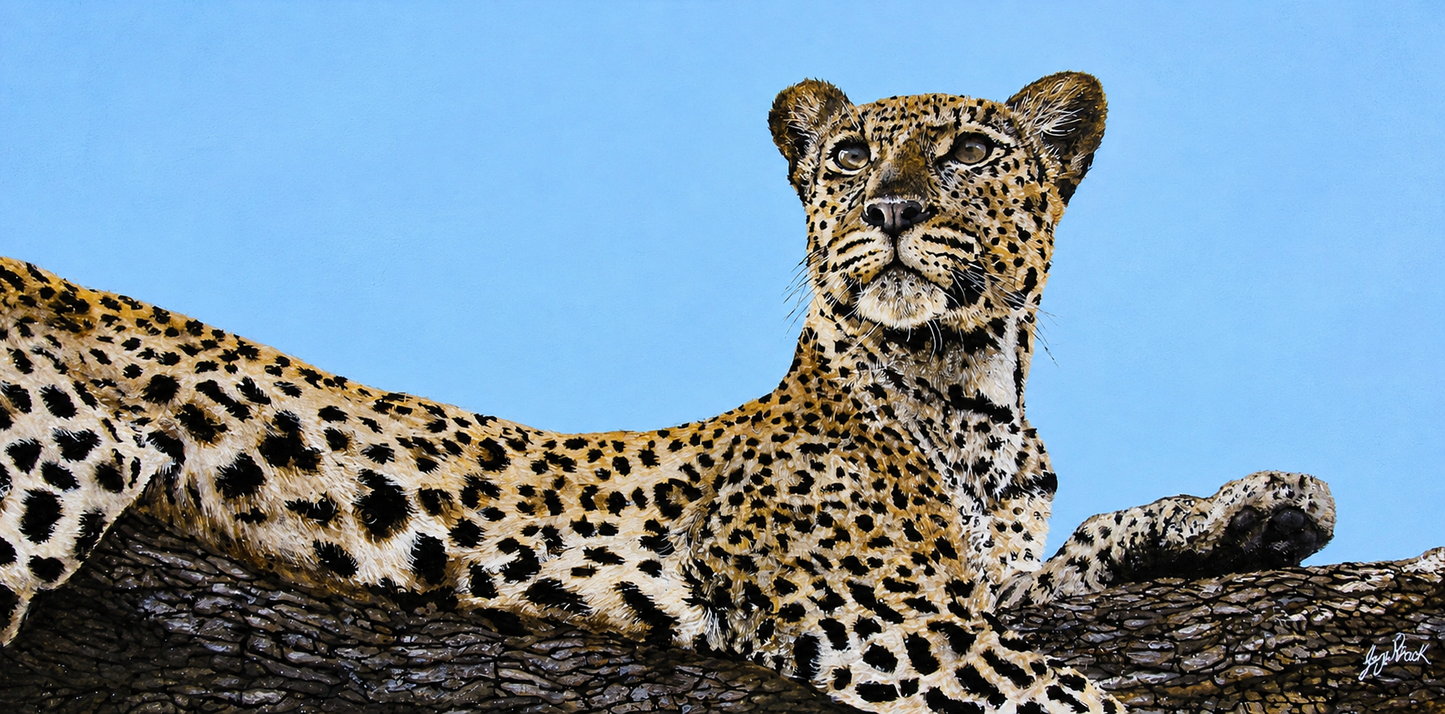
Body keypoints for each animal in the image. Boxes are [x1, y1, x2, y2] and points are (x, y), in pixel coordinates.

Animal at [0, 71, 1335, 713]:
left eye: (965, 151)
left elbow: (1086, 546)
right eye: (847, 157)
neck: (968, 388)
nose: (893, 209)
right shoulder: (890, 617)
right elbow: (1080, 703)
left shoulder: (979, 586)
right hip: (53, 465)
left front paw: (1262, 508)